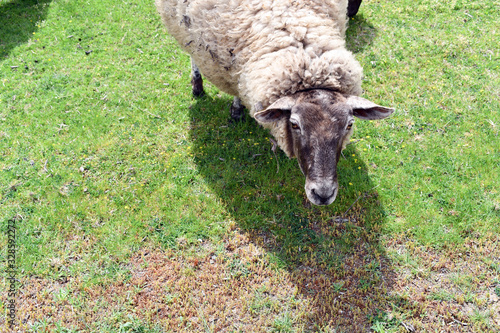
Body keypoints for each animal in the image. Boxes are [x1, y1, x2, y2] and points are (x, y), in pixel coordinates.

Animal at [154, 0, 392, 205]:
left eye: (349, 124)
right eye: (294, 124)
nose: (323, 194)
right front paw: (236, 111)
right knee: (191, 52)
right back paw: (197, 85)